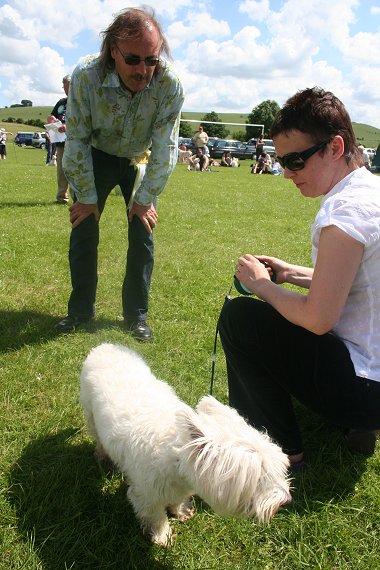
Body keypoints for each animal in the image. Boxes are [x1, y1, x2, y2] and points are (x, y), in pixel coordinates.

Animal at [78, 342, 290, 540]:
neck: (176, 456)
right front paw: (162, 535)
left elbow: (177, 500)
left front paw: (180, 512)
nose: (284, 502)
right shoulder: (146, 495)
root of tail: (104, 346)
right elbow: (155, 516)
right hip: (91, 414)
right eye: (257, 478)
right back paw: (101, 456)